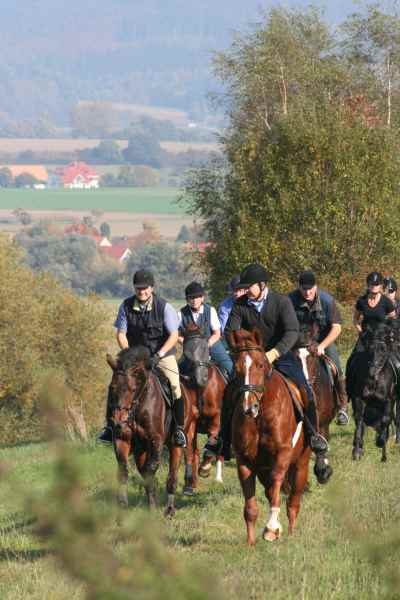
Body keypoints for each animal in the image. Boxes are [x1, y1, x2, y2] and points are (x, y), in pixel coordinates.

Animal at [107, 346, 196, 516]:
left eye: (133, 389)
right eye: (112, 388)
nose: (118, 422)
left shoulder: (156, 439)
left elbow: (150, 470)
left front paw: (153, 509)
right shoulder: (122, 439)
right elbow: (123, 470)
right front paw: (123, 506)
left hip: (175, 443)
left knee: (172, 476)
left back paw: (169, 509)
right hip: (140, 449)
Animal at [180, 324, 227, 486]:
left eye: (206, 348)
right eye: (186, 352)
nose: (201, 378)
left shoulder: (217, 418)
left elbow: (212, 443)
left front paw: (205, 468)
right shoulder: (191, 423)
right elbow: (192, 451)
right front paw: (192, 482)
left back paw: (218, 477)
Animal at [229, 328, 312, 545]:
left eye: (260, 364)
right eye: (236, 367)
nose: (249, 407)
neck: (261, 416)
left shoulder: (282, 454)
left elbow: (277, 487)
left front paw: (272, 528)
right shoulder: (245, 461)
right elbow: (250, 507)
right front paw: (250, 543)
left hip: (301, 464)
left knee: (293, 502)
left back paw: (290, 532)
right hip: (263, 470)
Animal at [347, 323, 399, 462]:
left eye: (383, 350)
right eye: (369, 349)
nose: (372, 374)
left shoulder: (389, 400)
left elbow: (385, 420)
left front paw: (381, 443)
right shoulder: (359, 398)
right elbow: (359, 420)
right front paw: (357, 451)